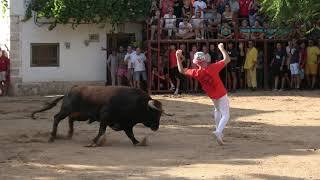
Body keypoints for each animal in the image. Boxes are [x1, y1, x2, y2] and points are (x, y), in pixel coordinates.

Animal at [30, 85, 172, 146]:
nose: (156, 127)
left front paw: (138, 142)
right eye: (154, 113)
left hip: (81, 115)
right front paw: (93, 142)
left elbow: (130, 134)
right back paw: (52, 137)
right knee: (57, 118)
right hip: (66, 109)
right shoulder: (105, 117)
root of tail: (69, 91)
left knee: (71, 119)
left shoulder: (127, 123)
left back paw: (69, 135)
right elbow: (101, 130)